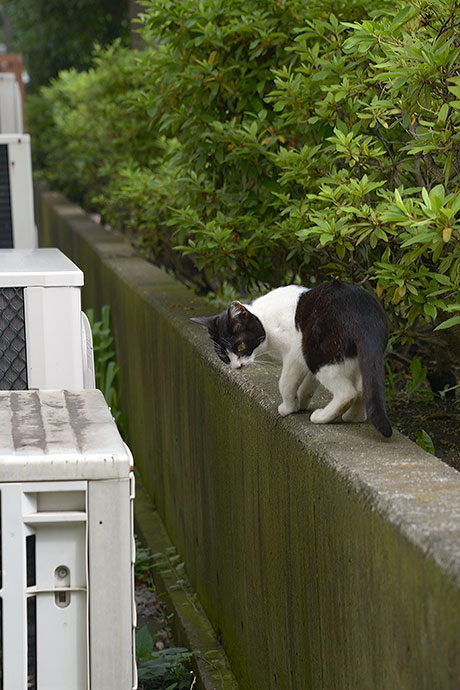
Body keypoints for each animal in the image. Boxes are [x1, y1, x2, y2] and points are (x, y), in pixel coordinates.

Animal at [190, 280, 392, 436]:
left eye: (240, 346)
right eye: (224, 355)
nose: (237, 366)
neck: (264, 318)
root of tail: (364, 313)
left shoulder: (295, 354)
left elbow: (285, 383)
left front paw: (288, 408)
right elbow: (308, 383)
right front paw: (301, 400)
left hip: (316, 352)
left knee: (347, 392)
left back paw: (322, 416)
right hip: (351, 356)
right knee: (362, 388)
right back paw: (353, 417)